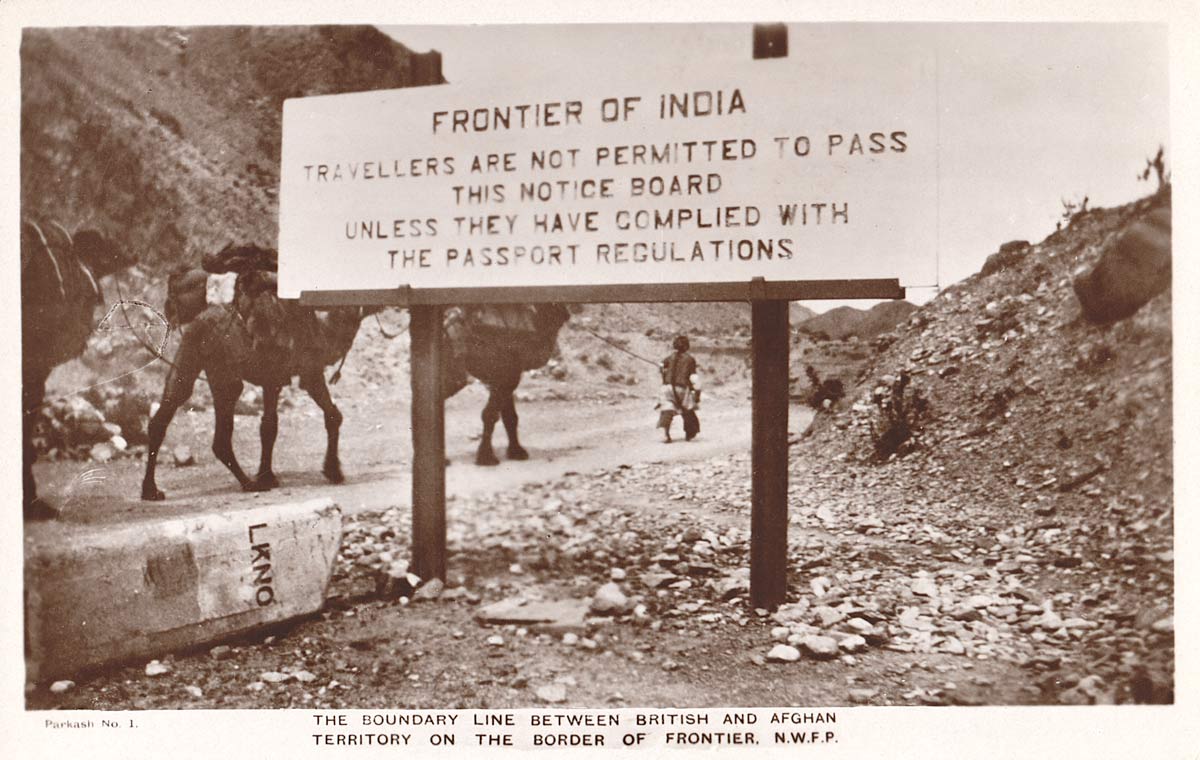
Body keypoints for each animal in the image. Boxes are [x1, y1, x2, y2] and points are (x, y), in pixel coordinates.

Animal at [140, 246, 374, 501]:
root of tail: (200, 321)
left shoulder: (273, 379)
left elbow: (268, 426)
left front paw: (268, 475)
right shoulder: (308, 371)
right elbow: (331, 415)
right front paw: (332, 470)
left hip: (188, 358)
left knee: (166, 412)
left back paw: (150, 489)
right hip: (225, 373)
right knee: (221, 436)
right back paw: (248, 483)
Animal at [441, 304, 571, 465]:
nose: (565, 314)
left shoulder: (507, 374)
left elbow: (509, 416)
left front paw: (516, 452)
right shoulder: (506, 371)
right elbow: (490, 414)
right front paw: (486, 457)